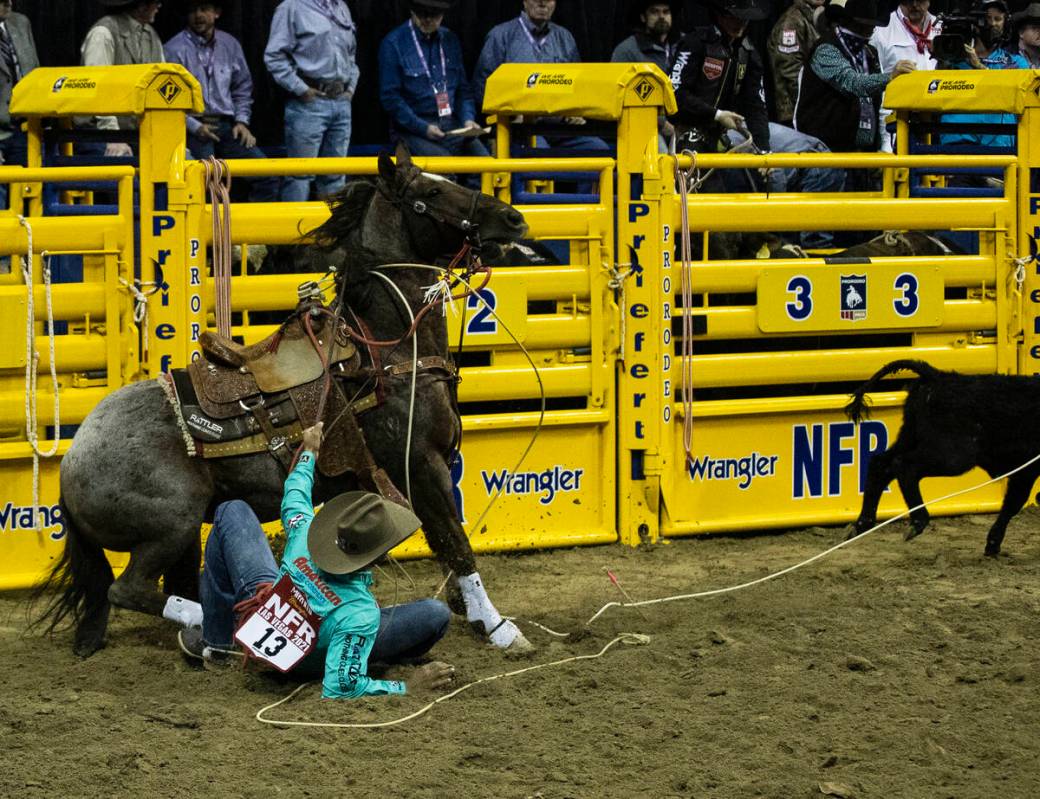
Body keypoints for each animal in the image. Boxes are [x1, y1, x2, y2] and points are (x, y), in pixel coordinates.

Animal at [38, 146, 536, 657]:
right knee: (129, 589)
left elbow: (445, 544)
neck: (388, 350)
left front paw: (469, 610)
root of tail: (70, 461)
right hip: (174, 522)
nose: (513, 218)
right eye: (431, 193)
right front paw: (497, 626)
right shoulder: (419, 466)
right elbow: (456, 543)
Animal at [844, 362, 1040, 557]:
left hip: (910, 437)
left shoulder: (1025, 470)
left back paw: (861, 524)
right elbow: (1014, 503)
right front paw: (992, 544)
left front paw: (993, 544)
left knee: (881, 465)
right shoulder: (1026, 469)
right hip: (953, 456)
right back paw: (918, 522)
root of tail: (937, 376)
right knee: (904, 465)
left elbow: (1013, 503)